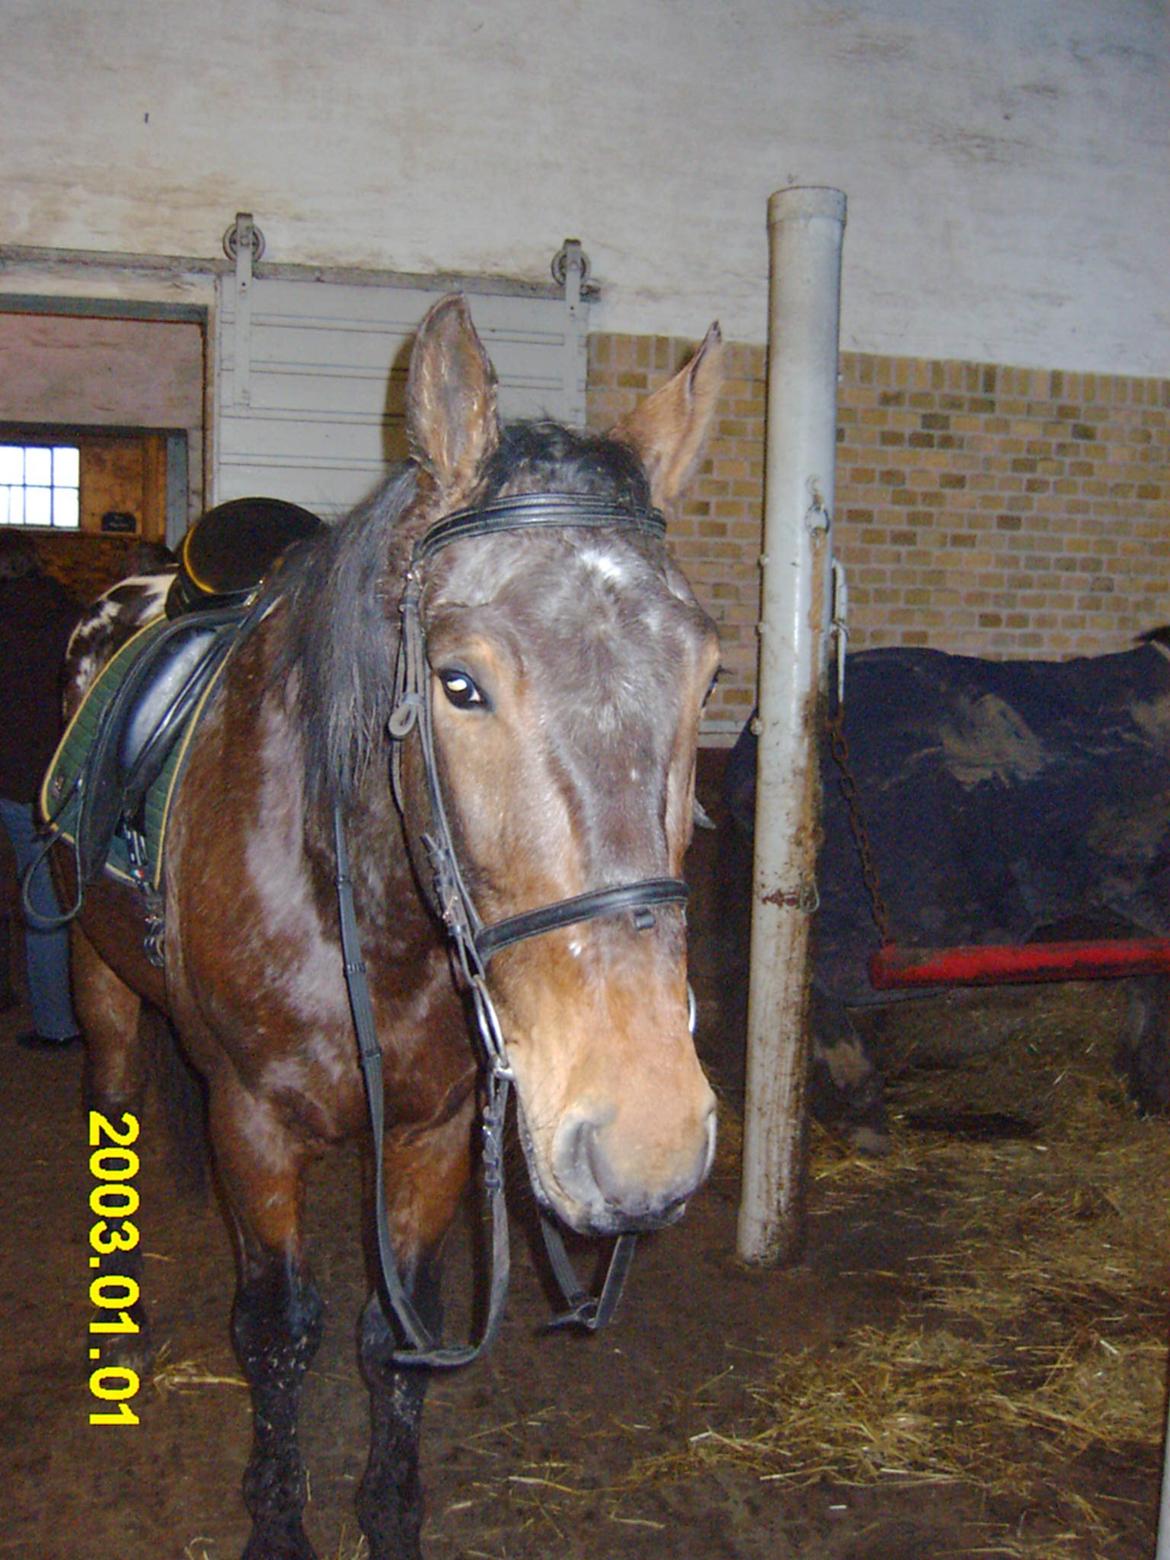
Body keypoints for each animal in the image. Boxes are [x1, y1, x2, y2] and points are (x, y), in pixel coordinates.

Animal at [63, 294, 730, 1560]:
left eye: (708, 676)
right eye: (459, 682)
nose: (647, 1141)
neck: (366, 919)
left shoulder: (433, 1128)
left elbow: (395, 1336)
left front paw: (388, 1514)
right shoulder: (251, 1122)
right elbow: (277, 1331)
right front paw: (278, 1524)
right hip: (101, 984)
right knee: (114, 1100)